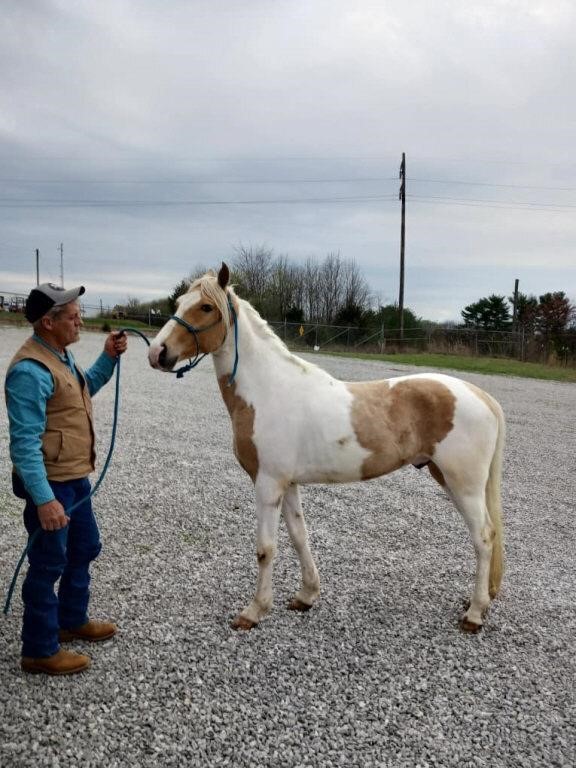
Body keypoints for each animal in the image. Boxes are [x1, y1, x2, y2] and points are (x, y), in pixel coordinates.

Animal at [148, 260, 504, 632]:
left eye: (206, 307)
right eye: (179, 304)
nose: (157, 352)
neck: (267, 389)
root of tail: (481, 396)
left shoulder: (267, 483)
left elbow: (266, 548)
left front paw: (254, 611)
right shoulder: (287, 484)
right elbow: (299, 537)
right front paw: (306, 596)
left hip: (463, 485)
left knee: (483, 538)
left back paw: (474, 613)